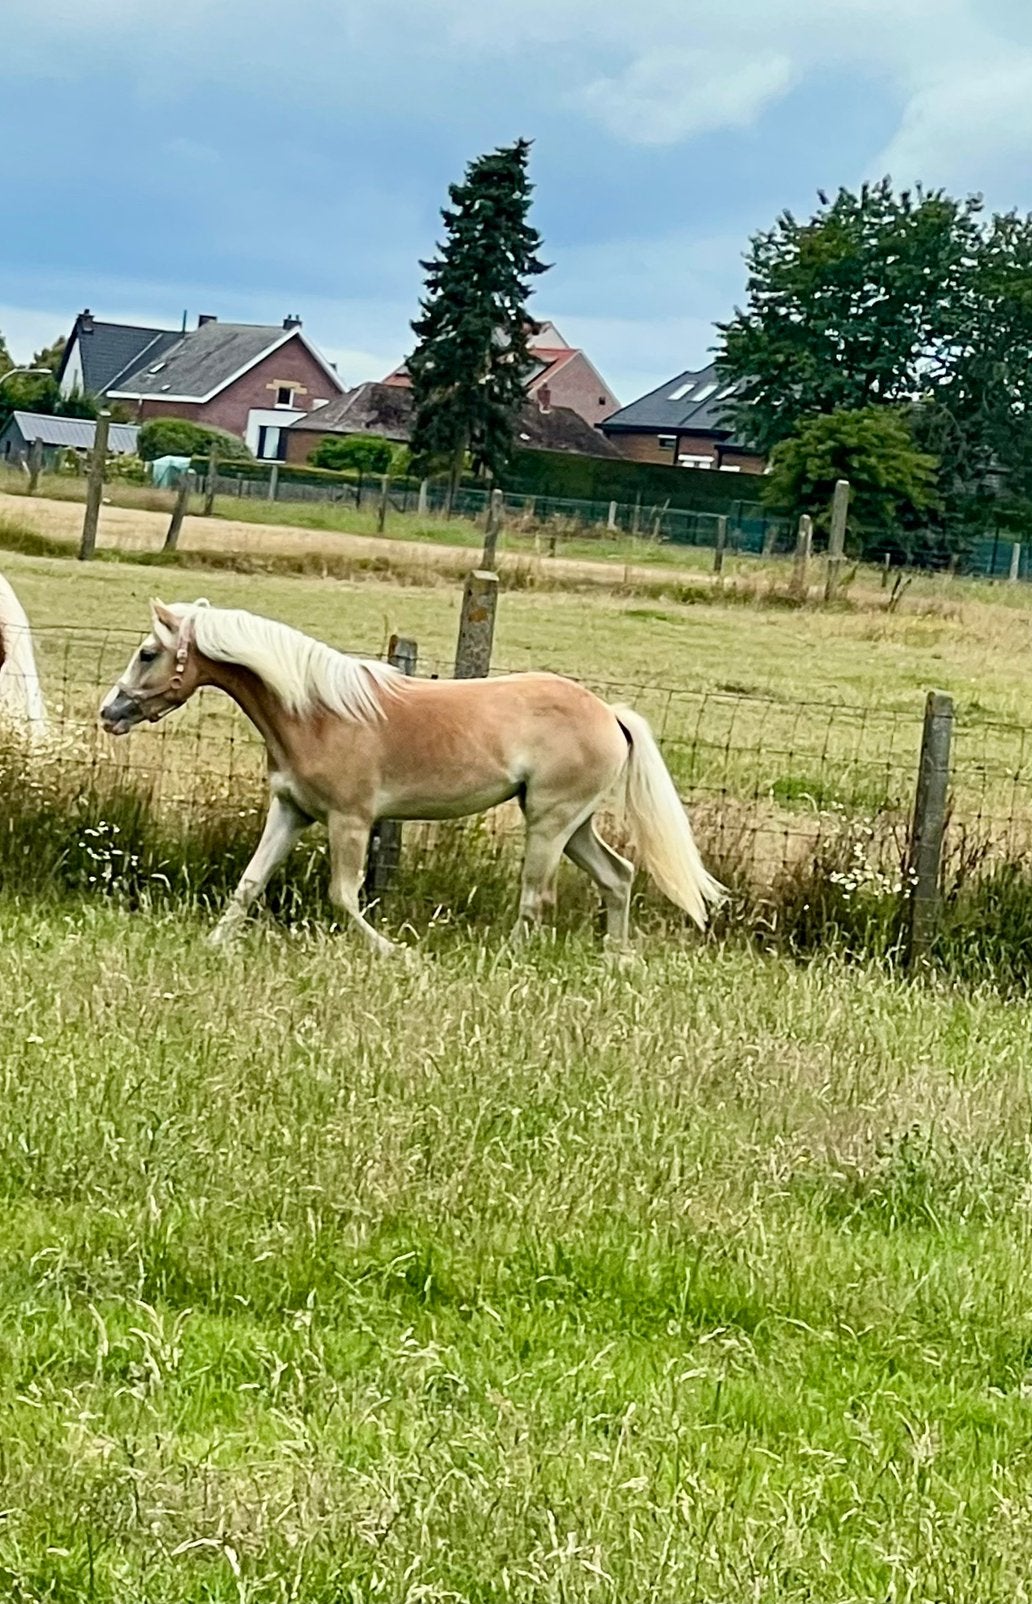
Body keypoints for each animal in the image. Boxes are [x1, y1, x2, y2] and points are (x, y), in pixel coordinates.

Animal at [99, 599, 724, 951]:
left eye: (148, 653)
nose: (110, 712)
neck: (316, 712)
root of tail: (609, 714)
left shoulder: (350, 820)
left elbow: (343, 896)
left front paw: (397, 954)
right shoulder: (292, 811)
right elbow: (250, 884)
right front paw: (213, 946)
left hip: (551, 822)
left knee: (536, 897)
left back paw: (511, 960)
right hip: (574, 824)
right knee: (618, 876)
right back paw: (616, 958)